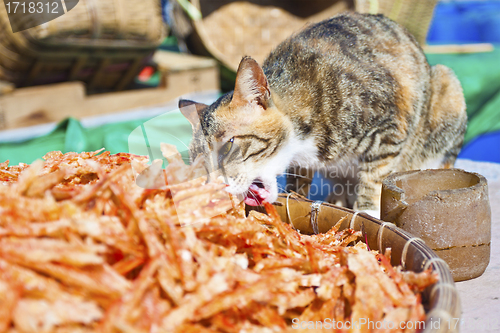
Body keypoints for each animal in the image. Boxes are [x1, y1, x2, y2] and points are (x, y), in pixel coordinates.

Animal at [178, 11, 466, 213]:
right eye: (199, 163)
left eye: (228, 146)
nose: (214, 187)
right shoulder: (303, 163)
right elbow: (299, 182)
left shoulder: (389, 127)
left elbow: (374, 179)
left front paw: (368, 211)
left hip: (447, 85)